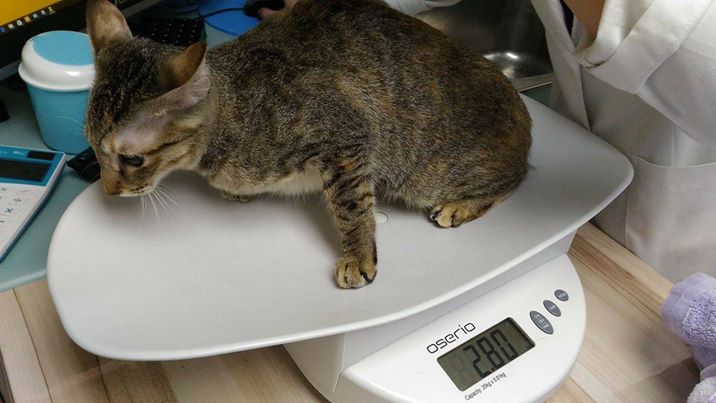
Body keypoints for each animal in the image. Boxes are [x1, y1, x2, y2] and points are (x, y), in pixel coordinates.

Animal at [84, 0, 532, 289]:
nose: (107, 190)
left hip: (432, 174)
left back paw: (461, 205)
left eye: (132, 158)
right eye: (91, 146)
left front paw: (357, 255)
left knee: (514, 180)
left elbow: (352, 206)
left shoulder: (347, 135)